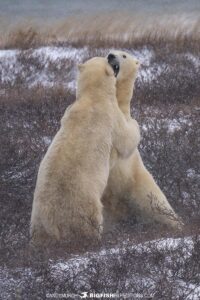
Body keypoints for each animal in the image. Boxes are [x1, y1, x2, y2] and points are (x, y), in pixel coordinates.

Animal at [30, 56, 141, 246]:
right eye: (108, 60)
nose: (111, 56)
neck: (92, 98)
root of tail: (51, 223)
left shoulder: (68, 110)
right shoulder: (111, 117)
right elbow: (126, 140)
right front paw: (135, 123)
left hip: (37, 219)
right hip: (84, 207)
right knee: (90, 224)